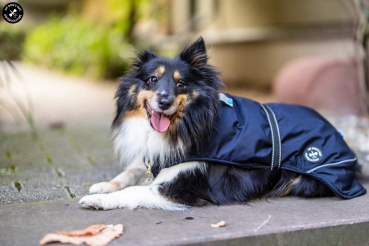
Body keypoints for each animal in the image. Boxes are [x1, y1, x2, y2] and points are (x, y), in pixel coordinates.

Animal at [79, 37, 364, 210]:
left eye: (181, 84)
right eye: (152, 80)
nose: (164, 102)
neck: (186, 122)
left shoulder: (179, 187)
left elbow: (134, 190)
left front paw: (97, 199)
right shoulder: (153, 155)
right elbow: (129, 172)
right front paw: (103, 185)